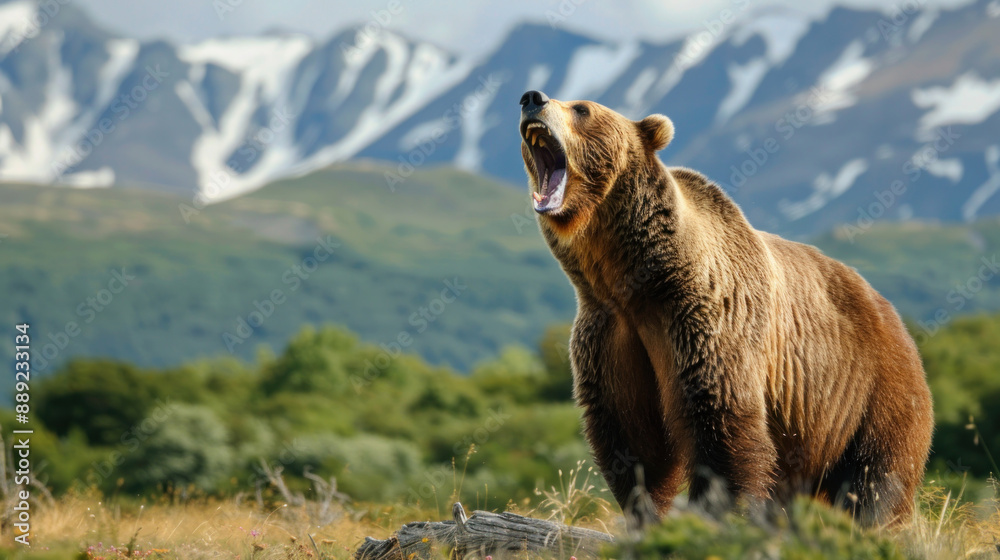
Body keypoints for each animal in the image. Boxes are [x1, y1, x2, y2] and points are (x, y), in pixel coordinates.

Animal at [517, 89, 934, 526]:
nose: (532, 98)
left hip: (869, 390)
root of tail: (895, 316)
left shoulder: (702, 316)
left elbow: (719, 418)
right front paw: (644, 511)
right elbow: (630, 433)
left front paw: (715, 511)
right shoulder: (609, 330)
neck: (630, 277)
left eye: (582, 108)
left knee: (875, 477)